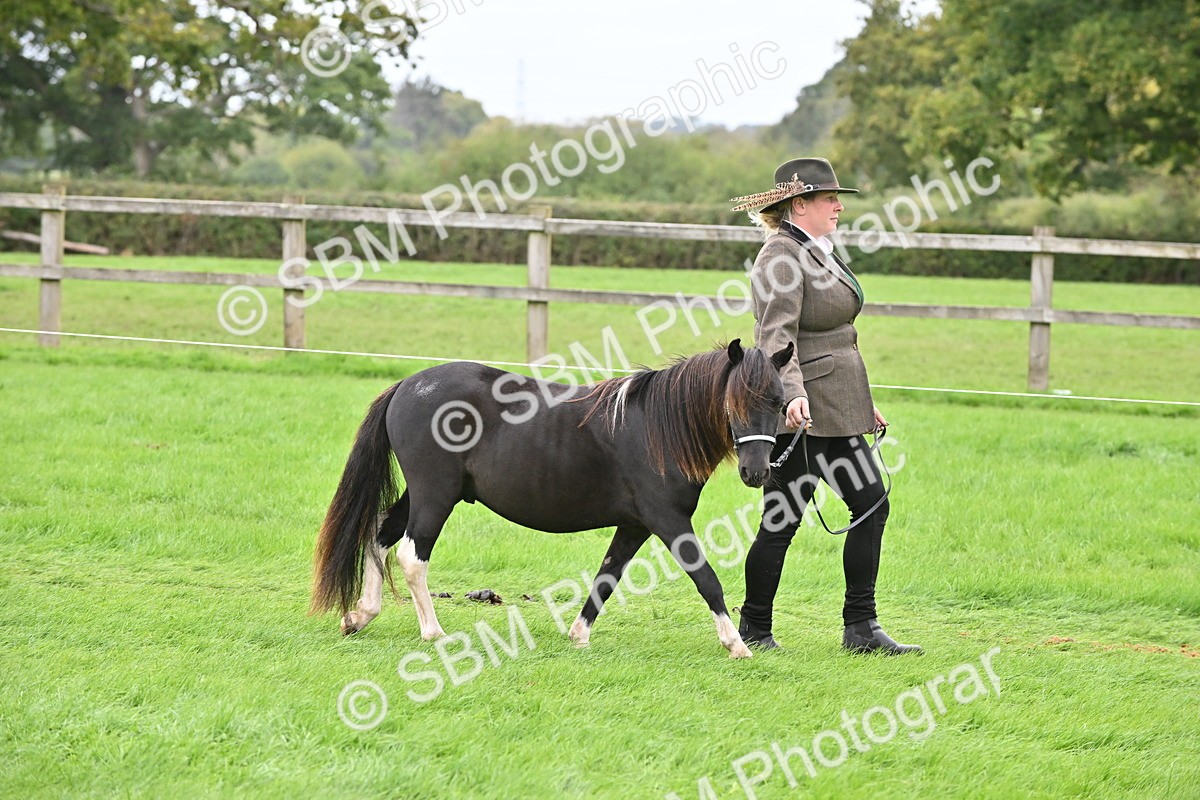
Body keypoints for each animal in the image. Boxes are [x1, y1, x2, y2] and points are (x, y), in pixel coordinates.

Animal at [309, 339, 793, 658]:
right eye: (735, 403)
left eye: (778, 401)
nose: (756, 472)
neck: (658, 427)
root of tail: (407, 386)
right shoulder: (668, 520)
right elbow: (705, 577)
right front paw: (735, 644)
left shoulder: (634, 525)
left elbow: (606, 576)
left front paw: (579, 634)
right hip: (435, 495)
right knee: (411, 555)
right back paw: (433, 633)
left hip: (423, 494)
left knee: (378, 534)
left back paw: (360, 615)